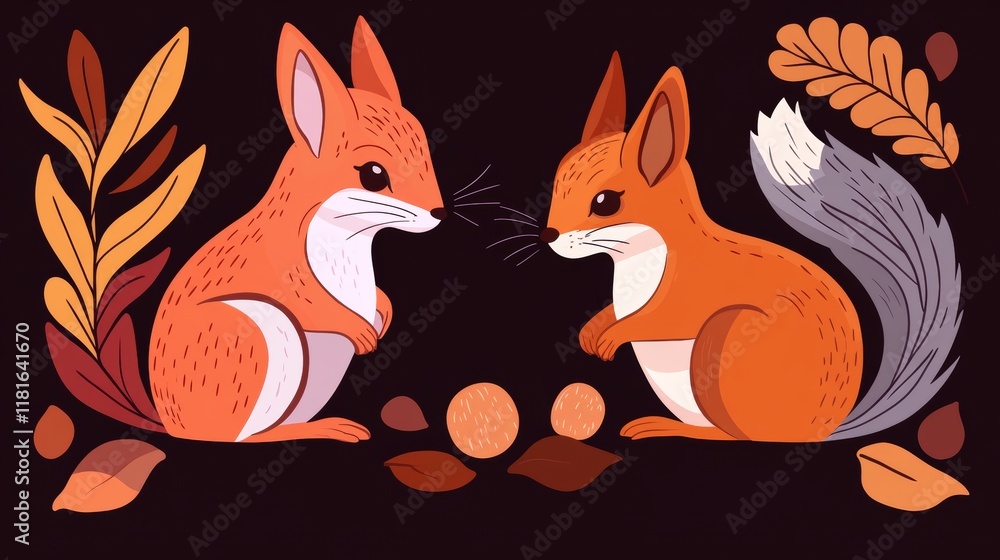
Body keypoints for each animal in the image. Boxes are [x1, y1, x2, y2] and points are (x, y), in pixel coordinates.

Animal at [146, 19, 446, 443]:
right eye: (374, 174)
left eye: (425, 149)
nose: (439, 213)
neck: (349, 234)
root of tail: (174, 427)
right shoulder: (285, 269)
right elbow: (315, 304)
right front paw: (362, 334)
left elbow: (377, 298)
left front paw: (383, 315)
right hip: (264, 338)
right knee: (241, 437)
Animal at [541, 52, 961, 442]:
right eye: (557, 179)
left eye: (605, 202)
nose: (548, 236)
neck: (634, 260)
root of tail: (820, 431)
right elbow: (616, 311)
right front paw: (593, 330)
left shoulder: (690, 287)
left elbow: (664, 318)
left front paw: (613, 336)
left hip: (723, 343)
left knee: (738, 435)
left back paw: (667, 427)